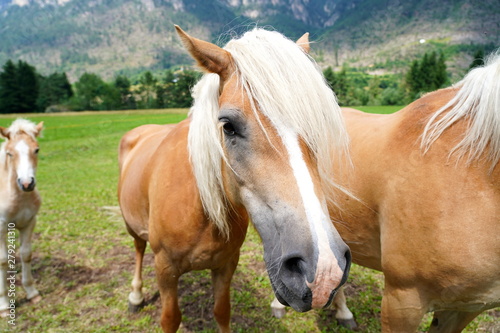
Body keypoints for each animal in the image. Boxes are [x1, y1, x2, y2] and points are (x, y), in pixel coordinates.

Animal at [117, 26, 352, 332]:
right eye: (227, 126)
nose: (324, 270)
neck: (200, 208)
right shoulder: (165, 268)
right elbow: (170, 318)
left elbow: (221, 311)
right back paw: (135, 295)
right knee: (137, 249)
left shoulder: (227, 264)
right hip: (133, 227)